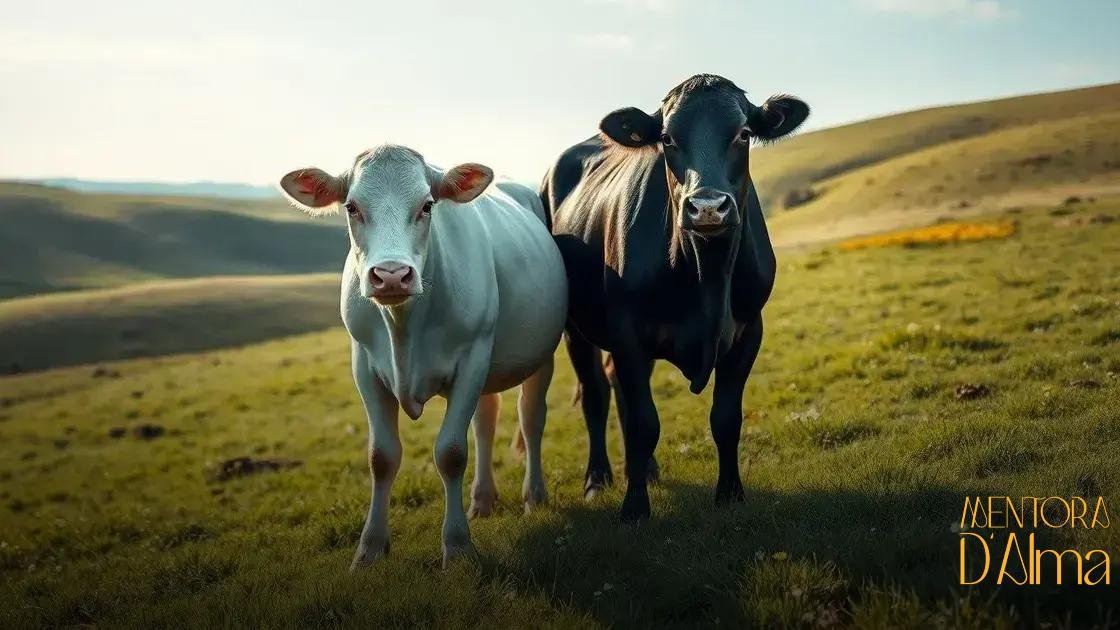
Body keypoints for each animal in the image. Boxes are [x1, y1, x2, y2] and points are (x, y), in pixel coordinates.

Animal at [279, 145, 568, 567]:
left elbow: (451, 453)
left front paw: (458, 548)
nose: (392, 275)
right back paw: (482, 500)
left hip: (541, 352)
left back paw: (534, 495)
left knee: (530, 418)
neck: (404, 329)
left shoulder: (472, 357)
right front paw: (369, 550)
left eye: (428, 205)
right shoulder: (364, 365)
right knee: (486, 421)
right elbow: (381, 457)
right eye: (351, 207)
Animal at [541, 74, 809, 521]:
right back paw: (598, 479)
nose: (708, 207)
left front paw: (730, 494)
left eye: (744, 133)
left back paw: (644, 470)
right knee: (596, 395)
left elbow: (726, 418)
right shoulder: (629, 334)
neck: (707, 274)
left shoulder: (749, 331)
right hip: (574, 326)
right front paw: (634, 508)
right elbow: (644, 423)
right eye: (667, 137)